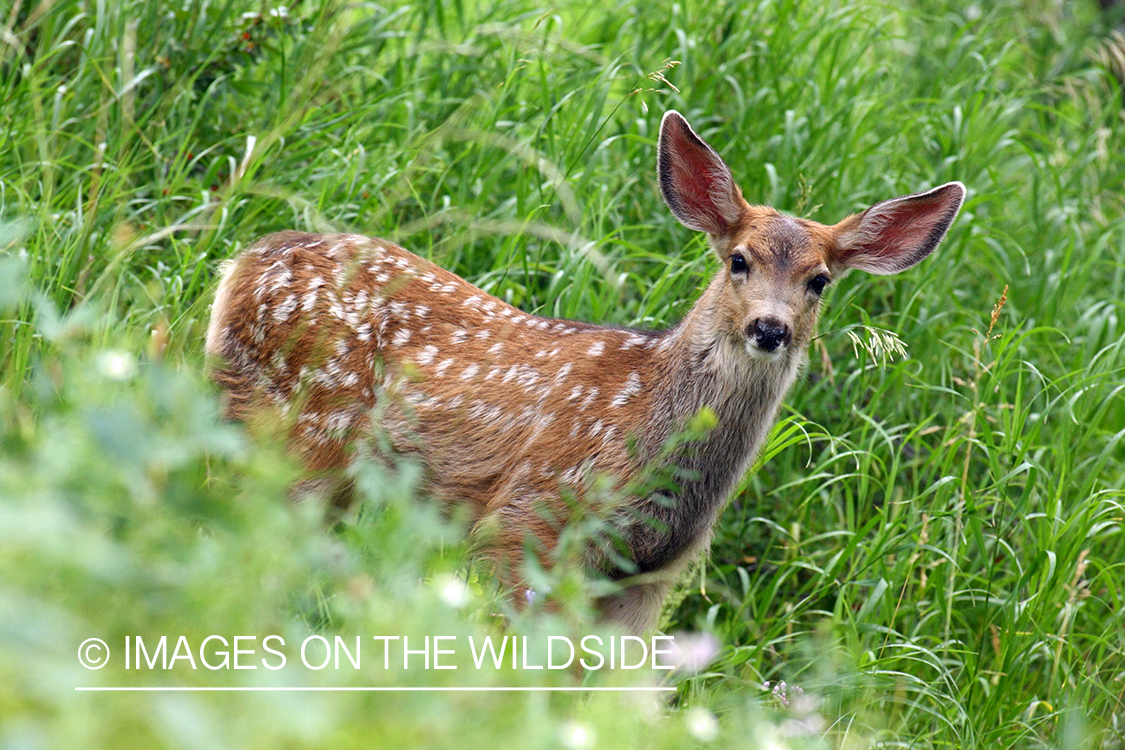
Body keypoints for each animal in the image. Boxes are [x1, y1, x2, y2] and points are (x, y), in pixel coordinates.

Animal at [205, 111, 965, 635]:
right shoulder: (527, 520)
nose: (769, 329)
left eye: (819, 281)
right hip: (302, 430)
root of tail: (240, 265)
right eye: (738, 260)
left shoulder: (647, 580)